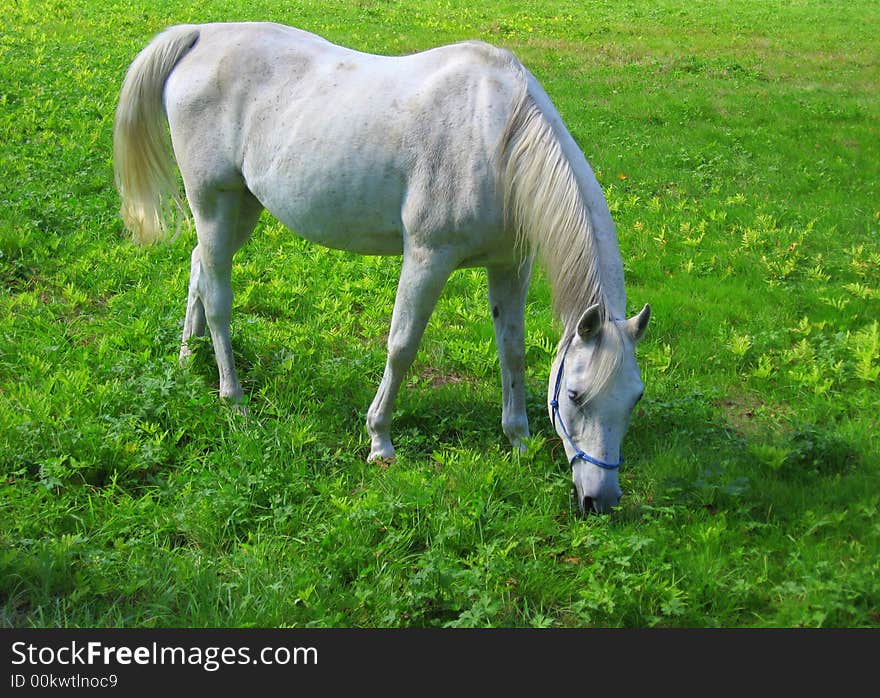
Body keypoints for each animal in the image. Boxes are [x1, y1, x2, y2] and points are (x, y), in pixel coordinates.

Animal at [113, 21, 648, 512]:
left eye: (635, 398)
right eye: (575, 395)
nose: (601, 500)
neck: (498, 138)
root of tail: (201, 34)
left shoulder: (510, 266)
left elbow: (512, 352)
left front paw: (517, 439)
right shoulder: (427, 258)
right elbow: (402, 346)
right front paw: (380, 441)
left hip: (240, 208)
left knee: (199, 268)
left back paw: (188, 358)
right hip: (215, 204)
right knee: (219, 297)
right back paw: (233, 398)